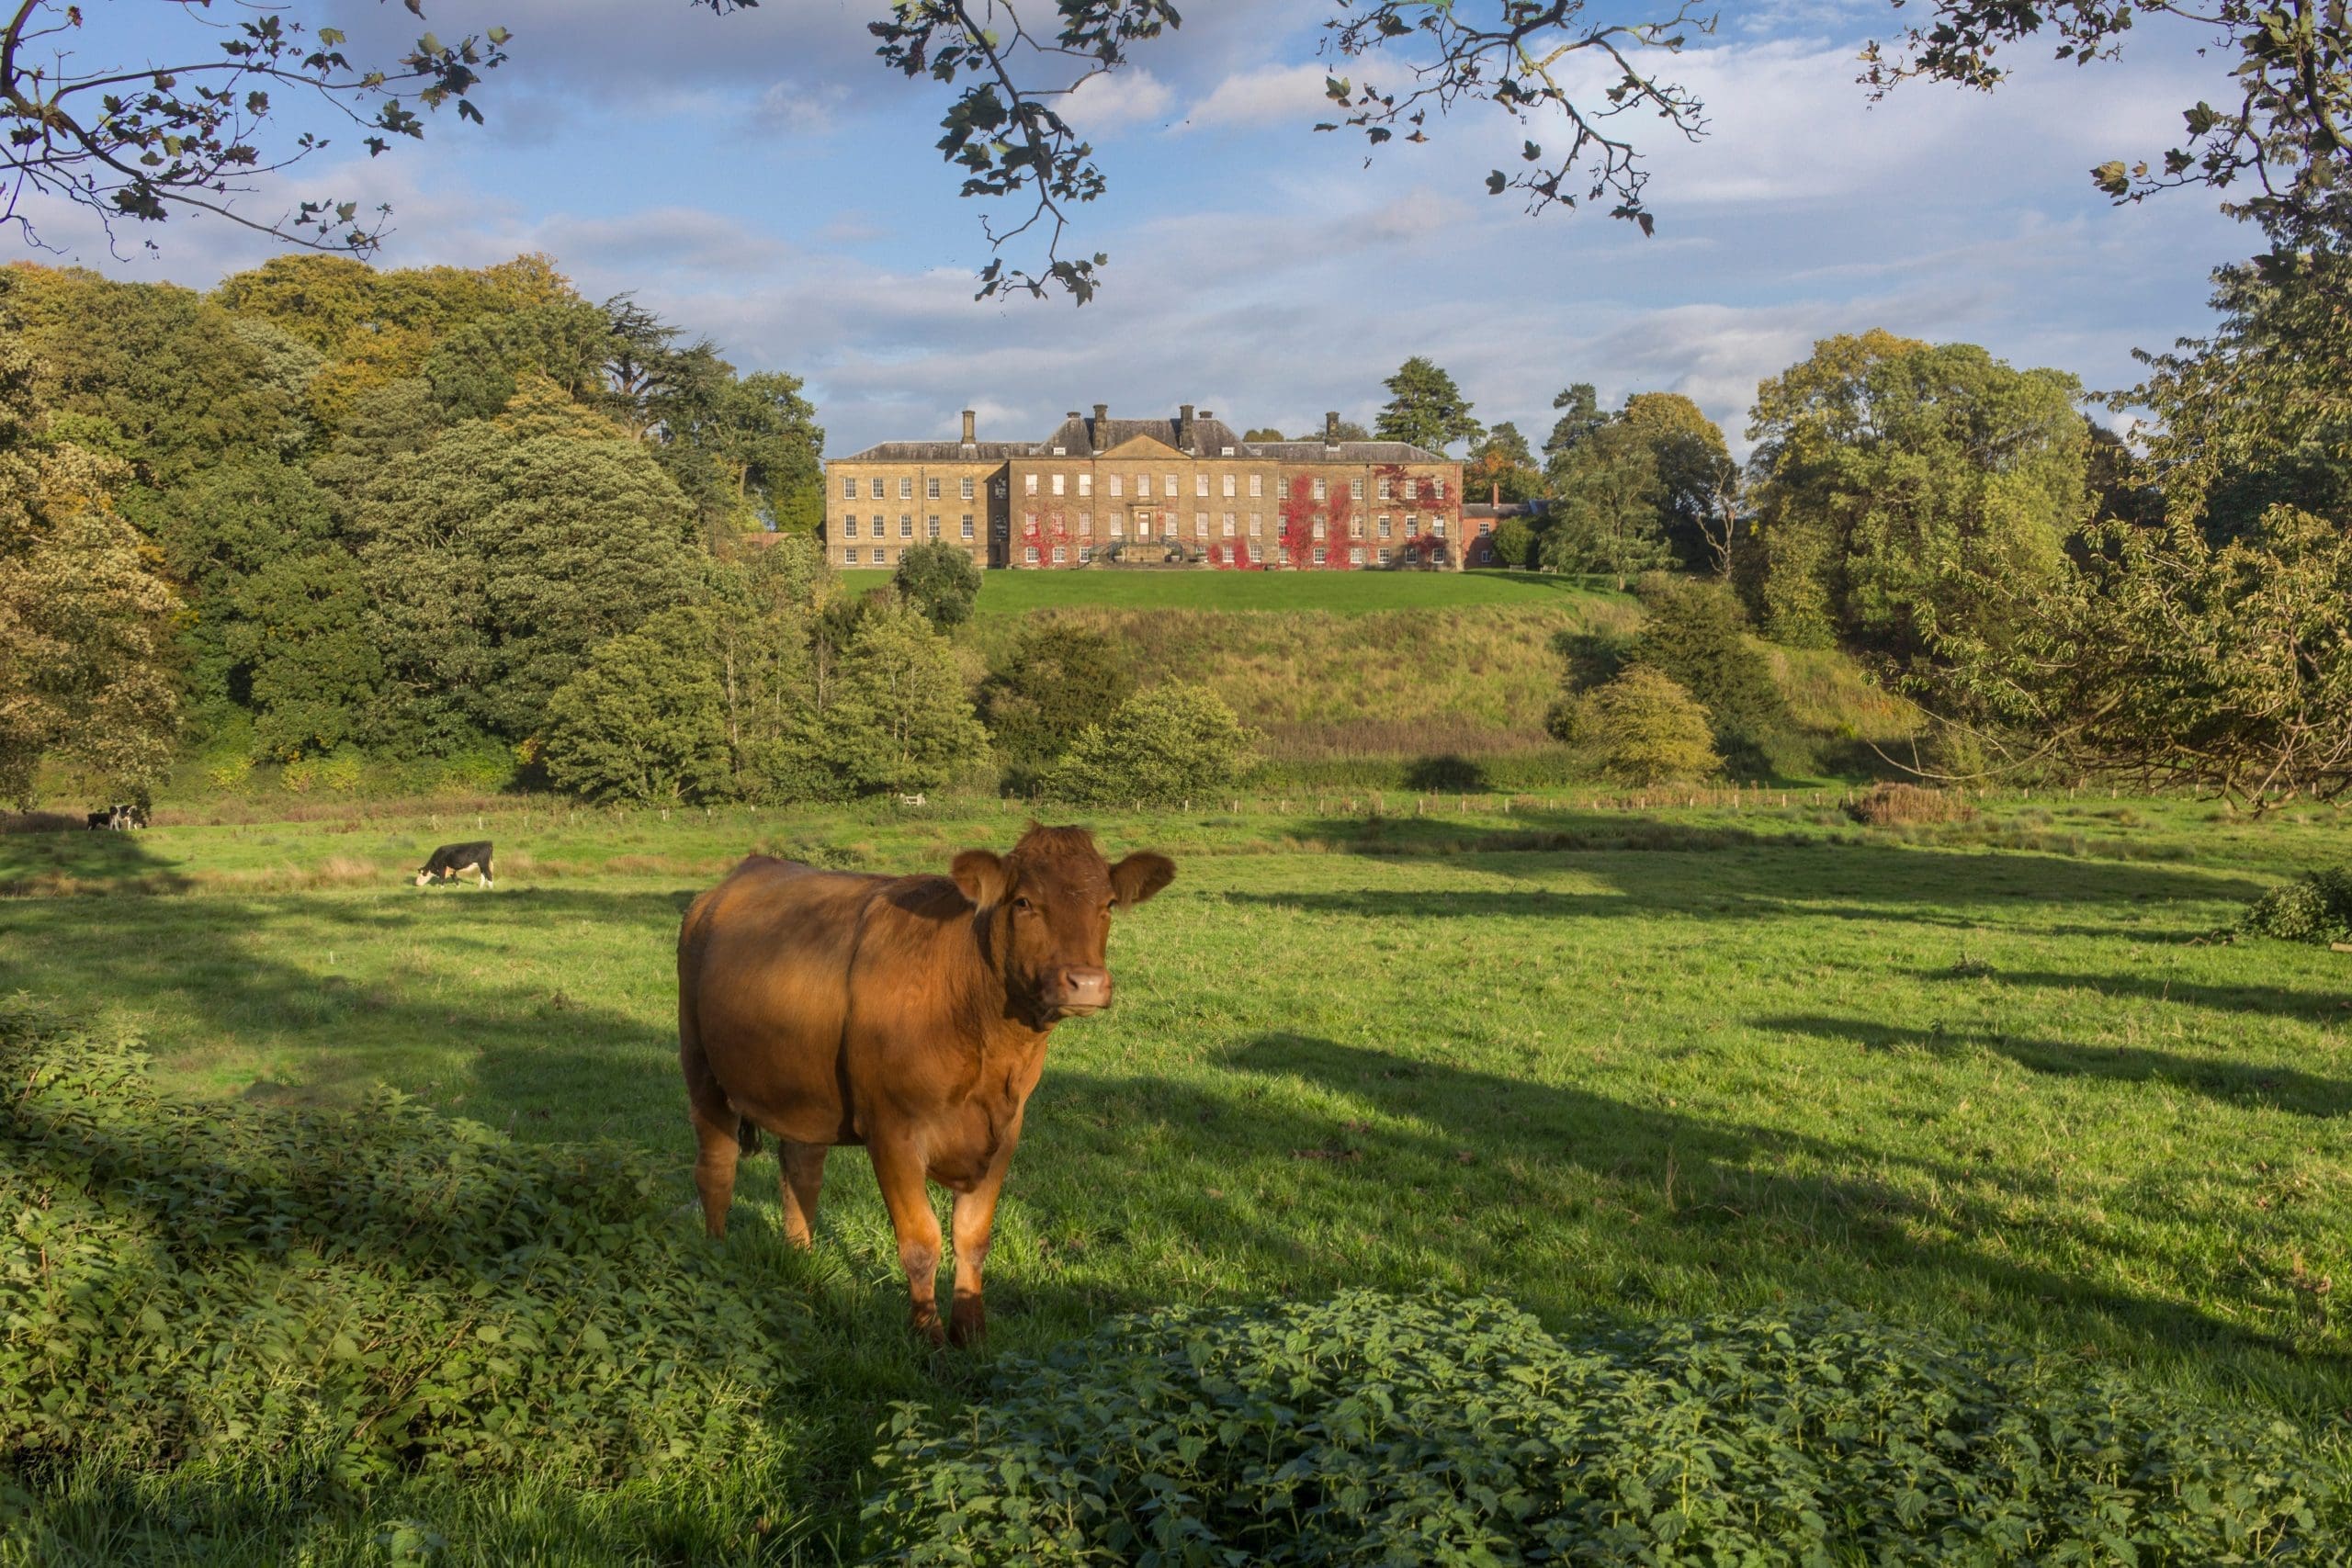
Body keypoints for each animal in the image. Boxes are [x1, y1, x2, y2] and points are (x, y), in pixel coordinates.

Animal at [682, 822, 1176, 1354]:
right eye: (1023, 901)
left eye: (1107, 904)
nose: (1085, 983)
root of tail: (736, 877)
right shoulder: (891, 1130)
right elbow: (921, 1241)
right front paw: (930, 1339)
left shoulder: (1006, 1130)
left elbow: (973, 1237)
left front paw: (972, 1331)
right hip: (701, 1066)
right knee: (716, 1170)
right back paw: (716, 1258)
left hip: (802, 1087)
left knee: (801, 1171)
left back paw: (803, 1262)